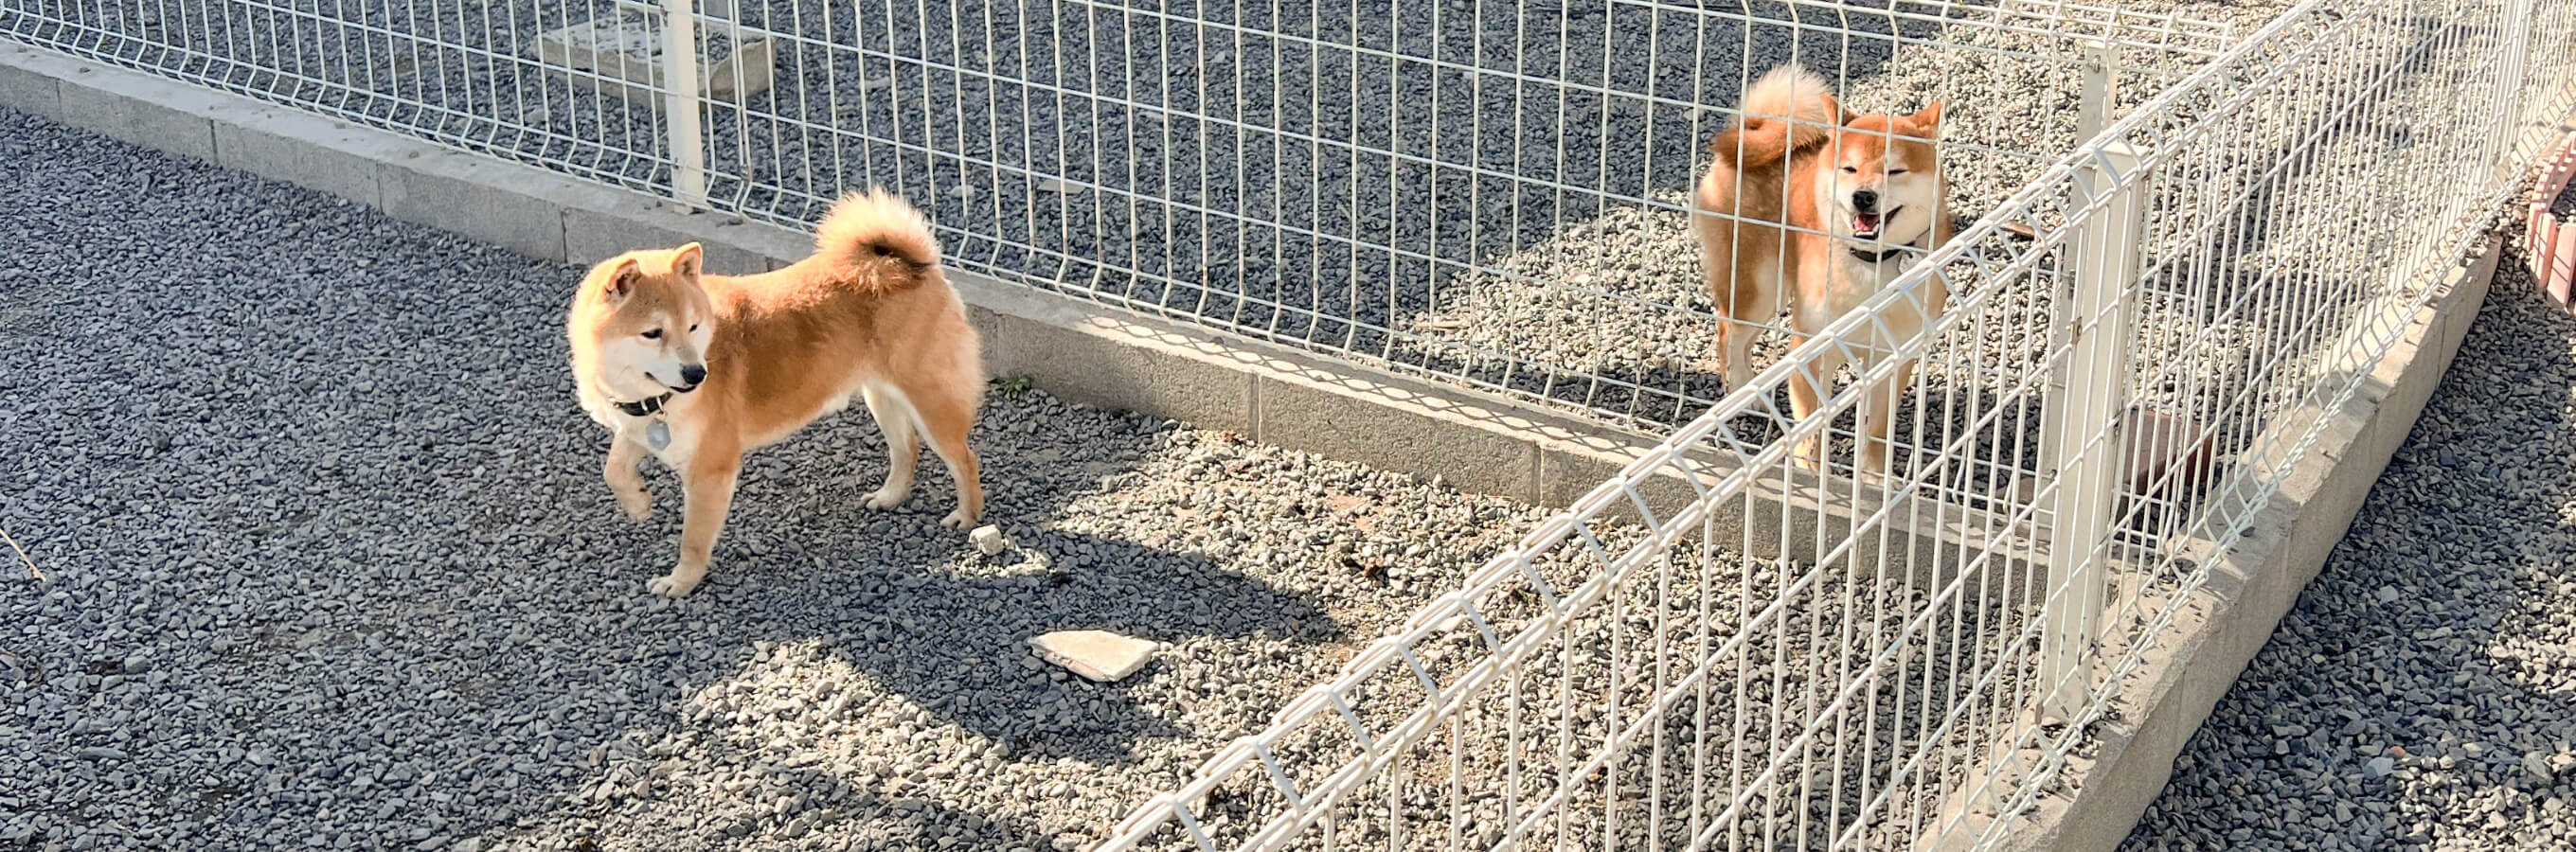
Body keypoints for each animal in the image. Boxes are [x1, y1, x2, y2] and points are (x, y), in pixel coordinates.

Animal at [566, 190, 984, 596]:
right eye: (653, 333)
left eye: (693, 326)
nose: (697, 373)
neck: (647, 394)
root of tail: (910, 265)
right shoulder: (643, 425)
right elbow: (613, 469)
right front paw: (637, 502)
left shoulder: (709, 470)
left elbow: (693, 540)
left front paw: (681, 581)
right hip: (881, 396)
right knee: (906, 449)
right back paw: (891, 496)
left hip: (929, 399)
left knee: (965, 459)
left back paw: (967, 516)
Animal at [1690, 64, 1947, 473]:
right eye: (1850, 168)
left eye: (1895, 171)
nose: (1864, 196)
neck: (1870, 266)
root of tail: (1753, 130)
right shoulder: (1812, 345)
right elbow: (1812, 426)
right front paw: (1811, 472)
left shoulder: (1893, 356)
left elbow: (1877, 431)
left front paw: (1872, 478)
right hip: (1759, 287)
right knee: (1730, 332)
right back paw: (1742, 393)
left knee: (1740, 339)